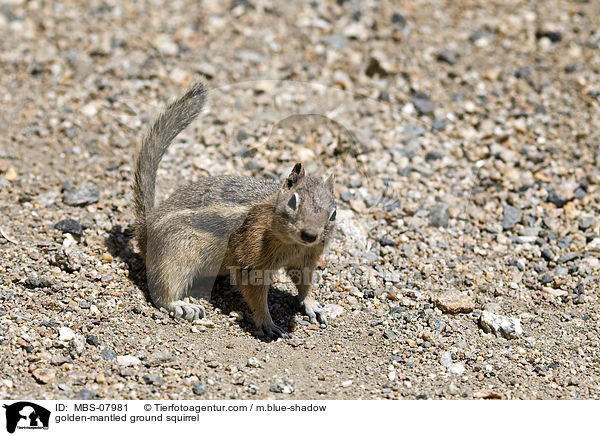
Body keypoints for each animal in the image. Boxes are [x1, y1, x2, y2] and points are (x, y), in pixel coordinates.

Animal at [132, 83, 338, 338]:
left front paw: (312, 305)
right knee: (162, 290)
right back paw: (182, 305)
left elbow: (305, 283)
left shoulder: (307, 259)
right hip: (174, 254)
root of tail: (145, 227)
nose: (310, 234)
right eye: (292, 202)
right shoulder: (252, 257)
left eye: (334, 214)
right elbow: (255, 293)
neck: (293, 244)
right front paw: (268, 323)